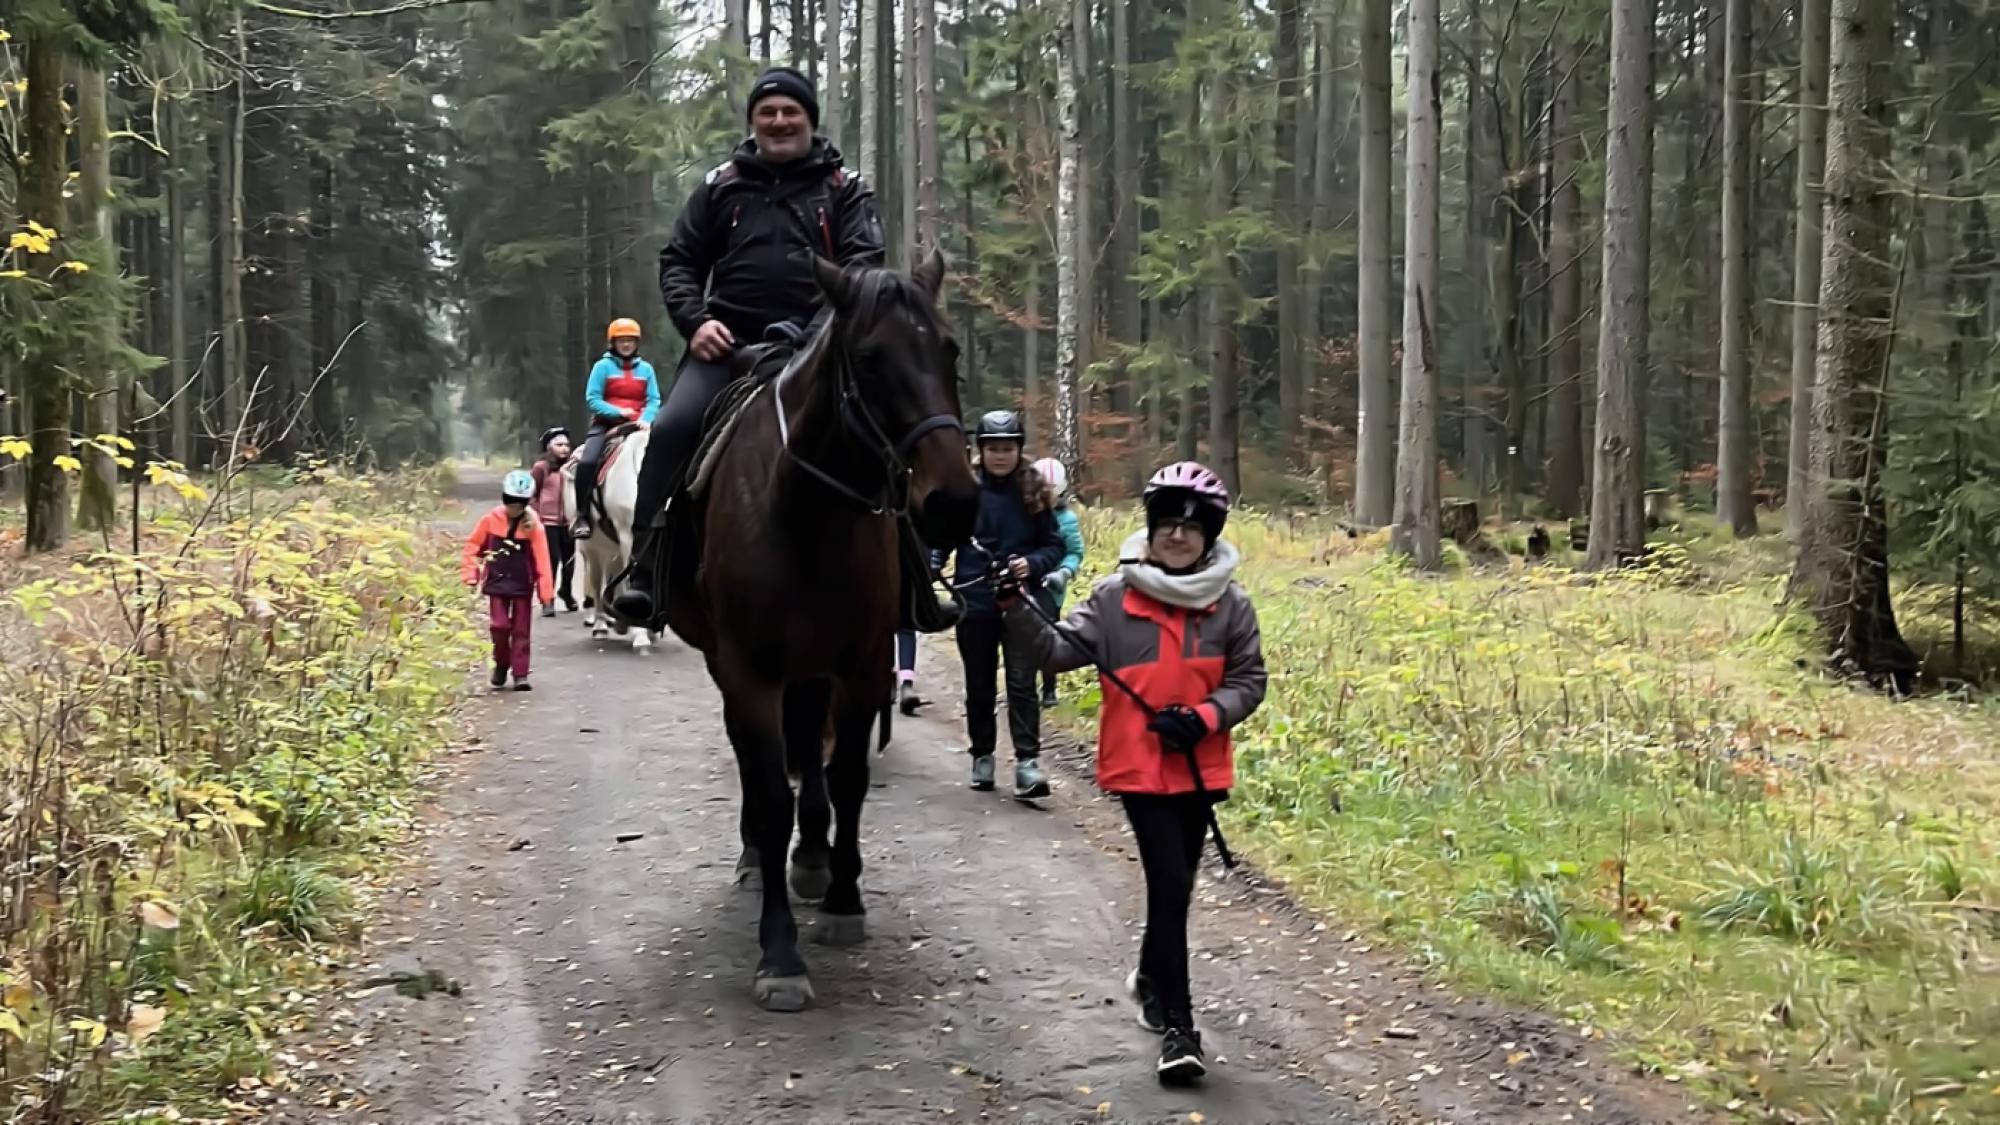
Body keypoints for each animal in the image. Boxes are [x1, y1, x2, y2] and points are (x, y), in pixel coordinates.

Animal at [562, 430, 663, 653]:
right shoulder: (628, 536)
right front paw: (641, 635)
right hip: (592, 547)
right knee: (597, 580)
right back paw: (601, 626)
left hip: (612, 547)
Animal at [659, 250, 977, 1012]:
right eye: (868, 358)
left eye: (948, 349)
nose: (953, 501)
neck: (804, 513)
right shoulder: (750, 671)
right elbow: (772, 794)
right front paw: (779, 955)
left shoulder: (861, 664)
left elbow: (848, 776)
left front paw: (841, 900)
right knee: (765, 768)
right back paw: (761, 859)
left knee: (810, 752)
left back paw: (811, 858)